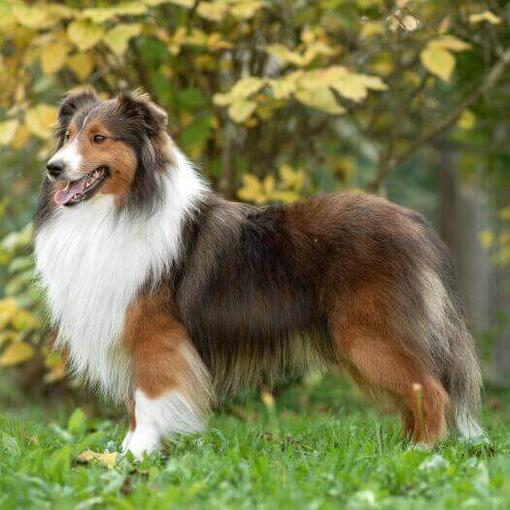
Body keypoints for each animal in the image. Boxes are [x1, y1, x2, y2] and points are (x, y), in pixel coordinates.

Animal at [33, 90, 484, 458]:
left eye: (99, 138)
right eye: (68, 136)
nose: (53, 168)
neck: (119, 210)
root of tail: (413, 222)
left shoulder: (153, 335)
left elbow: (147, 398)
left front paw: (138, 455)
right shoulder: (126, 326)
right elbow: (132, 403)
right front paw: (123, 454)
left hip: (371, 335)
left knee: (432, 392)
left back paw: (422, 455)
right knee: (415, 396)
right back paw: (407, 448)